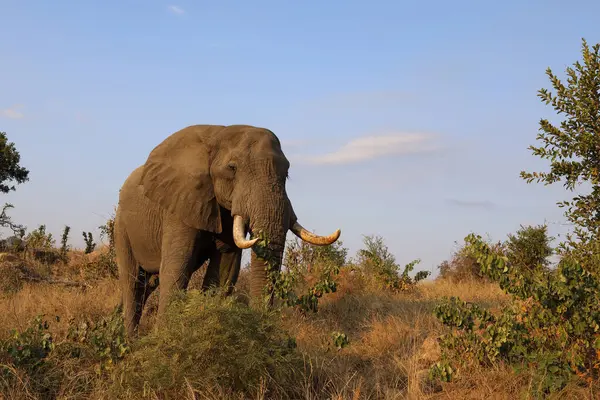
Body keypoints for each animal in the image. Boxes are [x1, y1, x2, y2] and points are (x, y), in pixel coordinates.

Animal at [116, 123, 342, 336]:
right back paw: (131, 341)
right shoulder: (179, 204)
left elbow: (225, 267)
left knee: (148, 285)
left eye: (286, 173)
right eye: (232, 168)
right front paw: (164, 338)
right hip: (122, 226)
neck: (218, 134)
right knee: (133, 282)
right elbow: (176, 267)